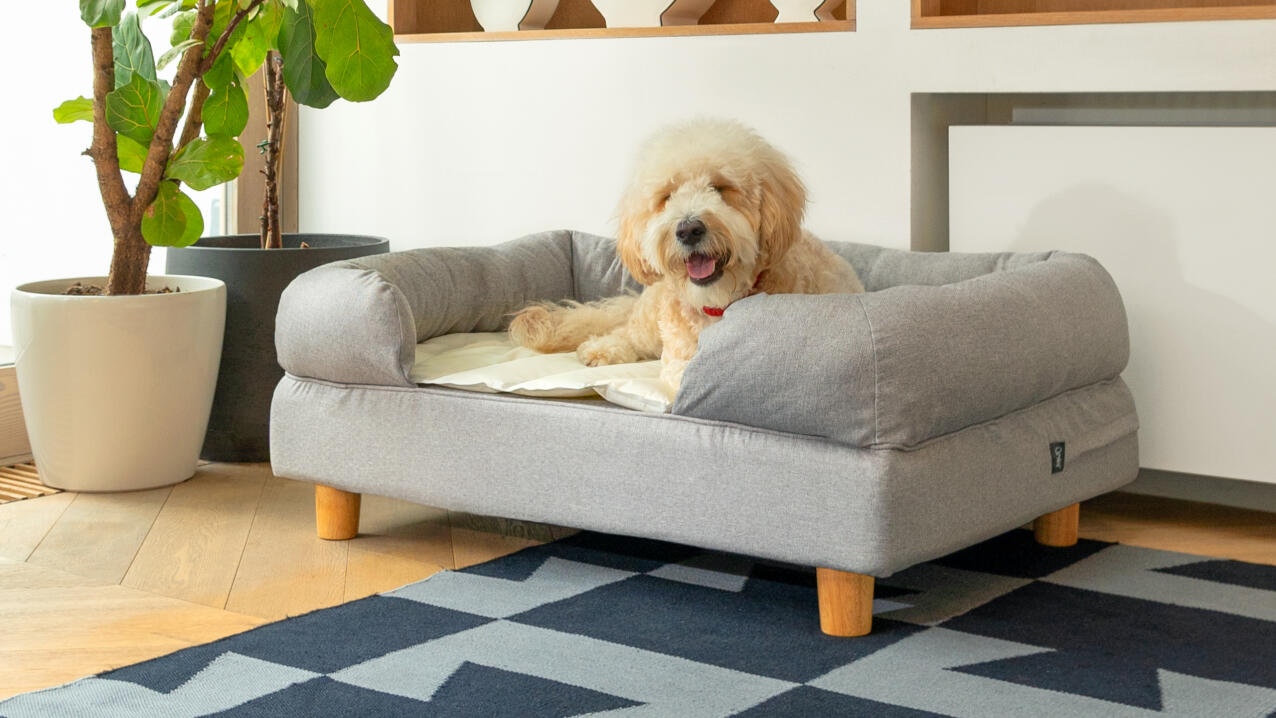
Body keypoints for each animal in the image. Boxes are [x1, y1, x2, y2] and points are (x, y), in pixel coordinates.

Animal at [502, 119, 862, 387]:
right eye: (666, 196)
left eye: (720, 188)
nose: (688, 229)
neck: (716, 304)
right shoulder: (677, 359)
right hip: (650, 321)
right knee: (626, 333)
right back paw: (603, 347)